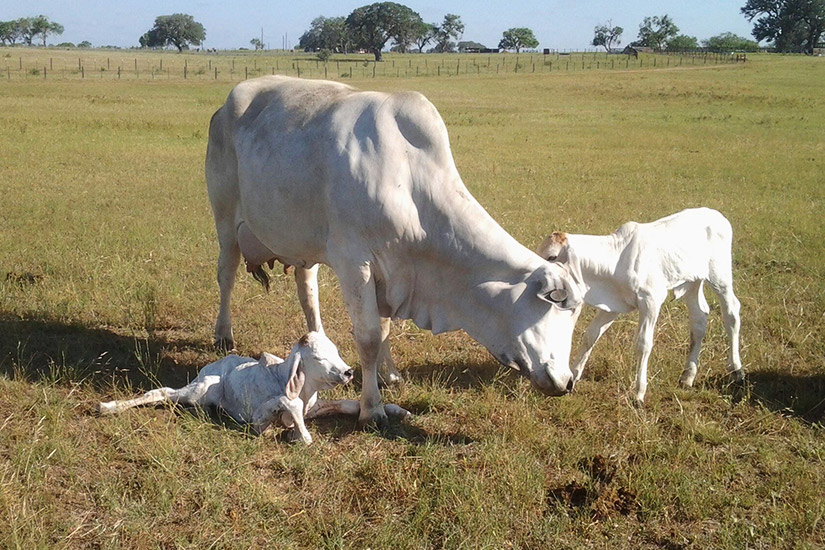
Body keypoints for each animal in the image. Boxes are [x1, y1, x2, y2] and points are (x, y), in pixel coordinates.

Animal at [204, 76, 580, 426]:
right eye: (557, 308)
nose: (567, 381)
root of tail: (223, 108)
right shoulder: (355, 262)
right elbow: (369, 337)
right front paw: (372, 407)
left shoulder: (390, 270)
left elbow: (383, 329)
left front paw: (390, 375)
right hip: (225, 222)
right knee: (226, 275)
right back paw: (224, 334)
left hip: (304, 245)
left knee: (307, 292)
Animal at [536, 208, 744, 406]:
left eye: (552, 256)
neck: (615, 260)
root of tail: (716, 215)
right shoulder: (612, 306)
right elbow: (590, 336)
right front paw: (574, 376)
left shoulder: (651, 301)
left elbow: (643, 344)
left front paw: (639, 393)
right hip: (693, 282)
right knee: (699, 319)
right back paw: (688, 376)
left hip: (720, 276)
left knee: (731, 313)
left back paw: (736, 370)